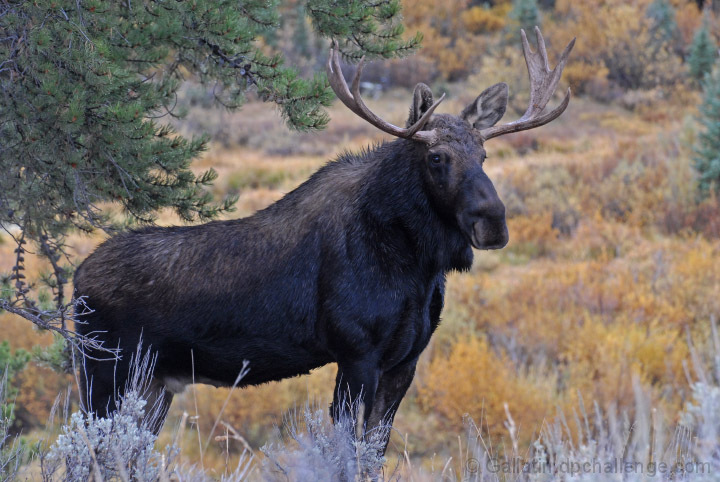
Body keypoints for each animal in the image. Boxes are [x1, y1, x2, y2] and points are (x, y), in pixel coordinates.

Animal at [73, 27, 574, 453]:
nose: (493, 222)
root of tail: (76, 281)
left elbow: (374, 453)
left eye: (484, 154)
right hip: (104, 371)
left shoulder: (404, 362)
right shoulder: (356, 354)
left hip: (154, 382)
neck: (415, 265)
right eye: (436, 157)